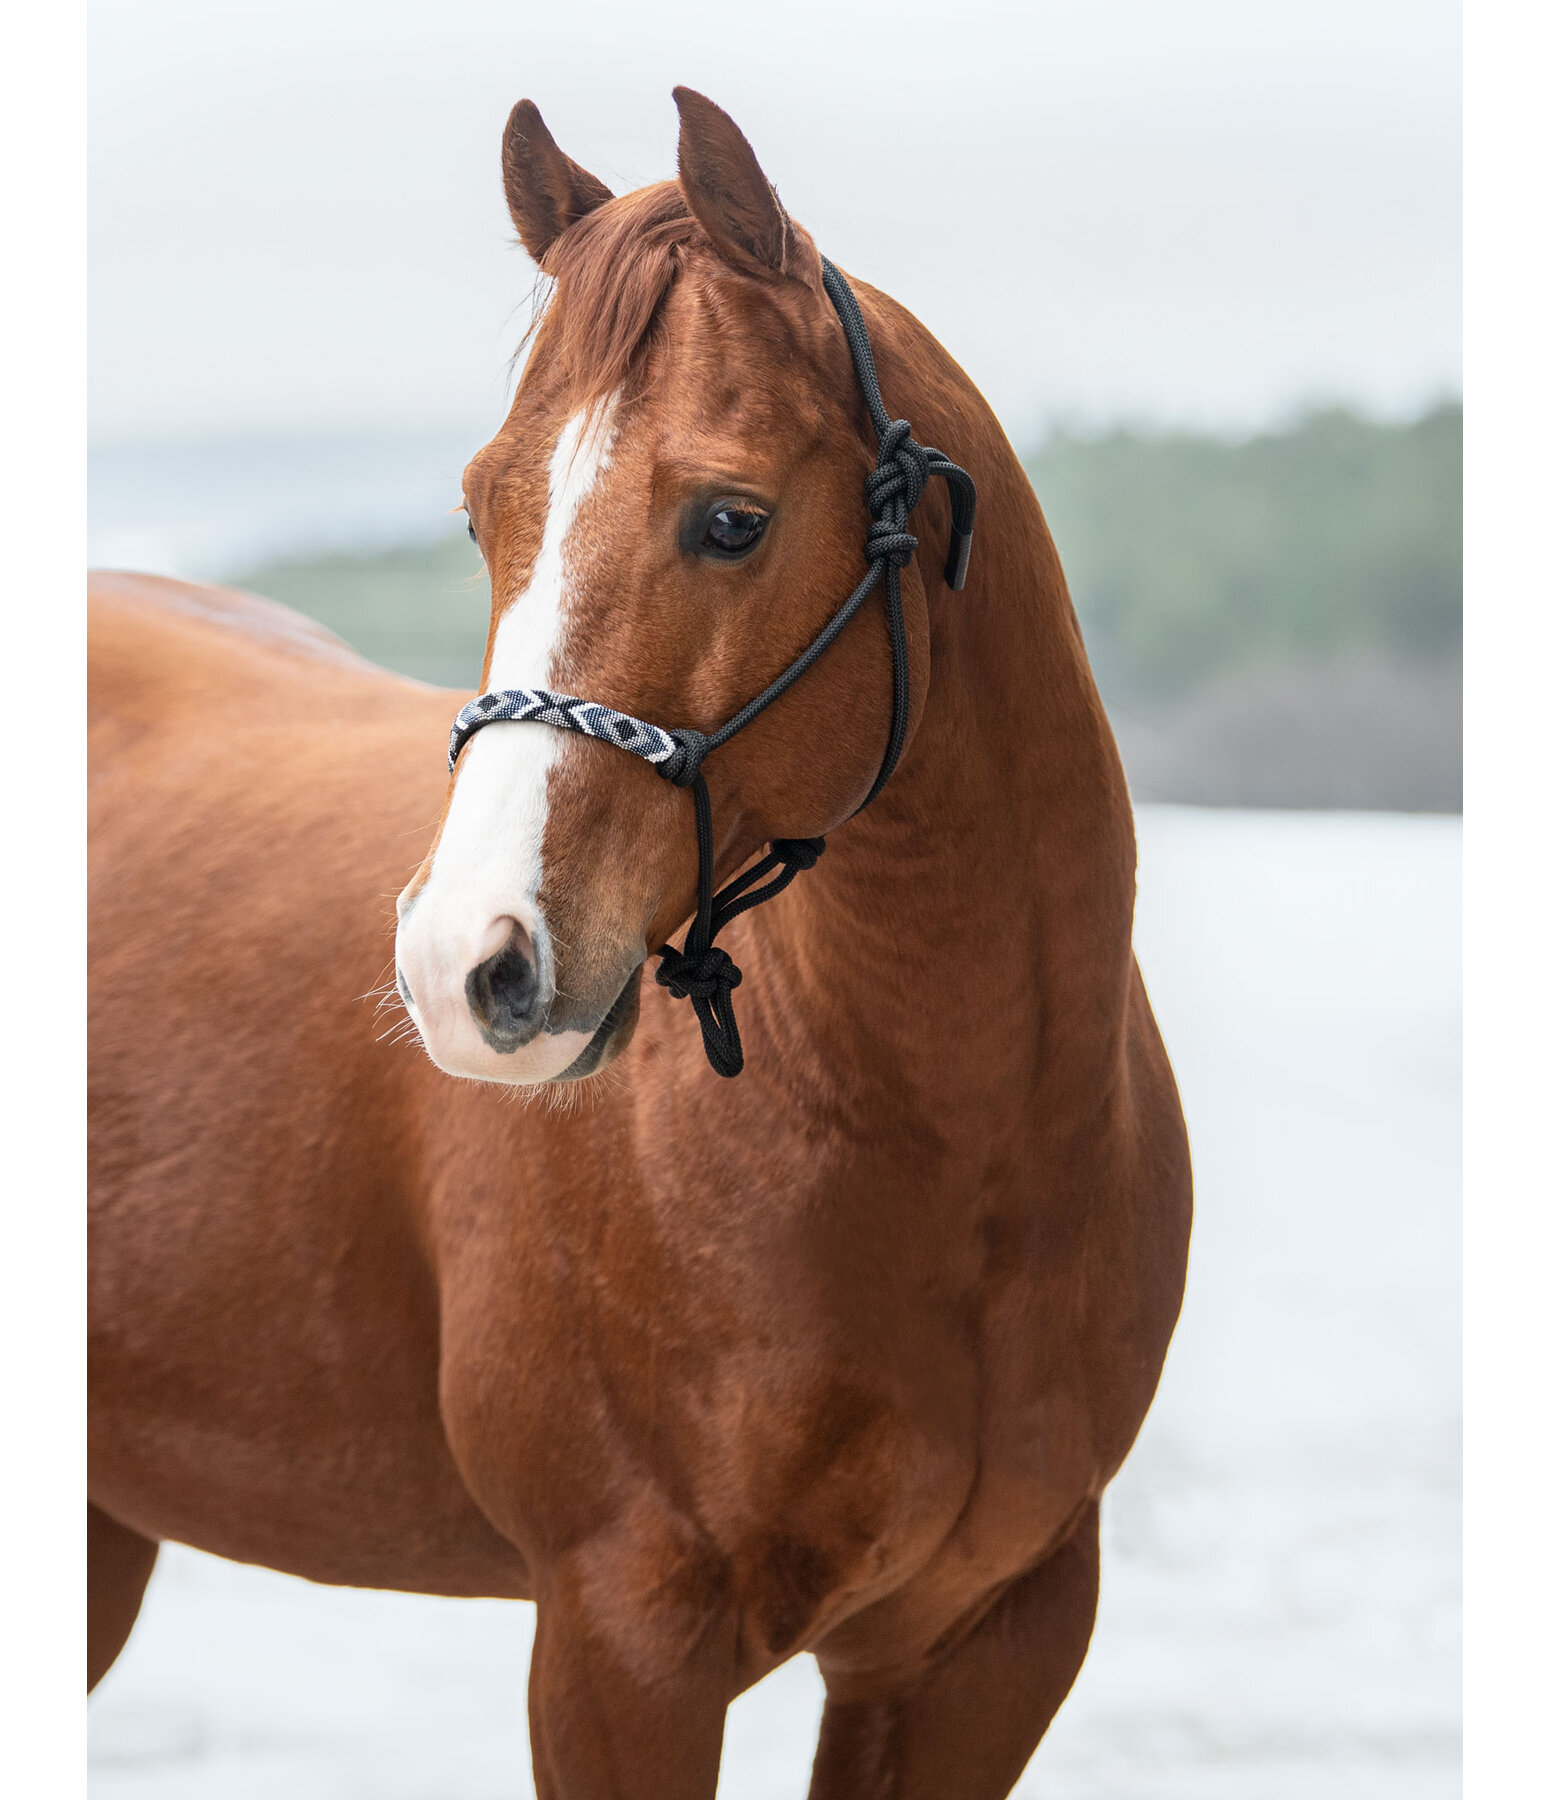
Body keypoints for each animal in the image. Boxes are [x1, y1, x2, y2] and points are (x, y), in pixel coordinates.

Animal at [87, 91, 1188, 1800]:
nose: (463, 967)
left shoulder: (983, 1644)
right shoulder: (623, 1642)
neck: (955, 1160)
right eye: (485, 507)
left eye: (729, 520)